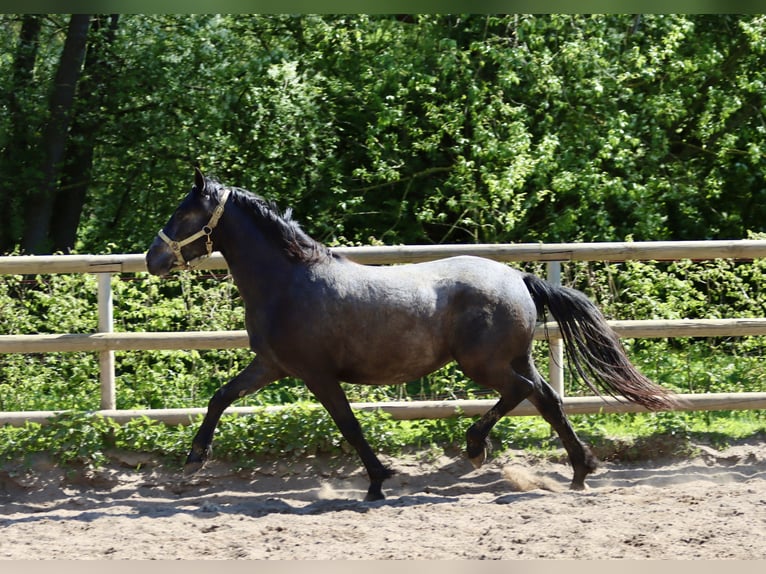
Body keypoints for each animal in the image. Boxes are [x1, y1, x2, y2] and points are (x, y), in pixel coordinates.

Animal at [144, 169, 680, 502]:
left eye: (184, 214)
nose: (154, 258)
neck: (289, 281)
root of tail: (520, 278)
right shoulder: (272, 365)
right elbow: (220, 397)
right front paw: (194, 459)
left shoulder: (316, 374)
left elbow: (349, 425)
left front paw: (378, 481)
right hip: (515, 356)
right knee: (547, 398)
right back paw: (579, 471)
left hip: (483, 364)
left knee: (523, 392)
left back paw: (477, 448)